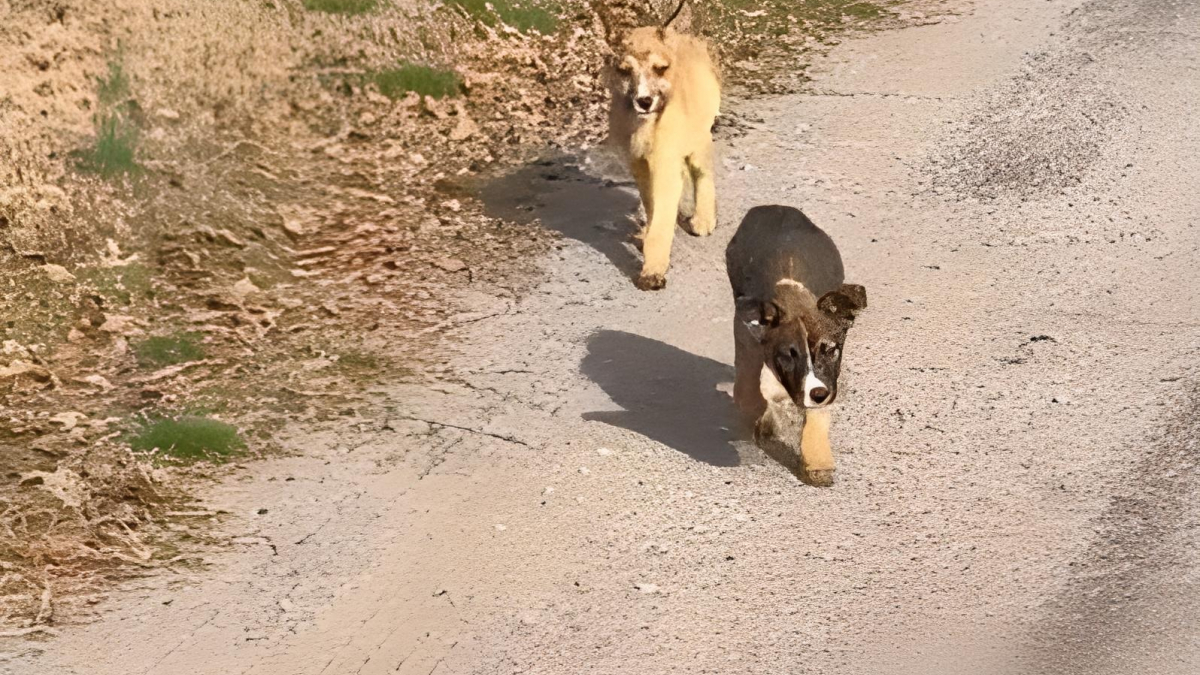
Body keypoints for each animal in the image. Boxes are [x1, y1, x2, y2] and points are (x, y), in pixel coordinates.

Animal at [609, 0, 720, 289]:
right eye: (625, 71)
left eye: (660, 68)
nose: (644, 101)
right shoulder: (639, 163)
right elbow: (650, 205)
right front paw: (646, 239)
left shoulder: (665, 164)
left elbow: (662, 218)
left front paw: (652, 271)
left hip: (699, 139)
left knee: (703, 174)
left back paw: (703, 219)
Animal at [724, 204, 868, 482]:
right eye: (789, 355)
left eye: (830, 350)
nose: (819, 394)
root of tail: (776, 208)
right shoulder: (747, 341)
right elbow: (749, 393)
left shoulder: (826, 380)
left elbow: (816, 414)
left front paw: (818, 461)